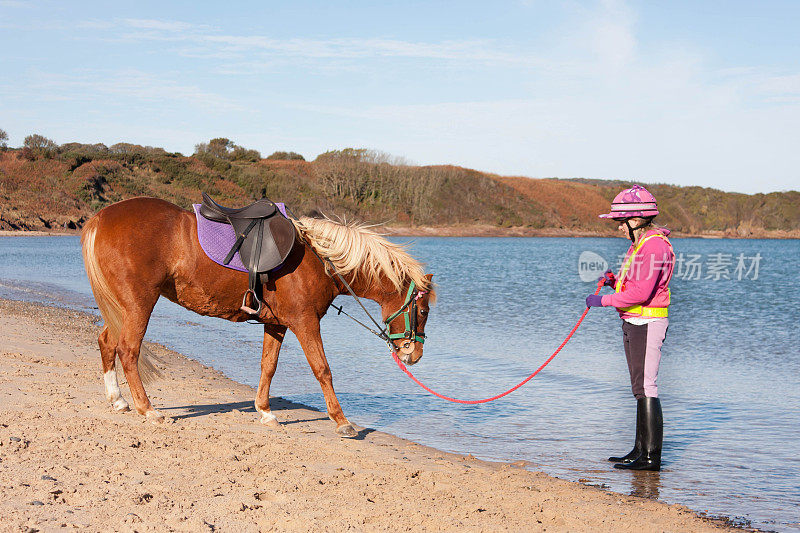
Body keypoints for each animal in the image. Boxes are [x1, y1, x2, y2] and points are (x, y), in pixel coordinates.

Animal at [79, 196, 438, 436]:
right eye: (422, 310)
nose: (415, 354)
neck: (320, 259)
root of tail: (101, 217)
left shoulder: (276, 323)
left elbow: (268, 366)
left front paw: (265, 412)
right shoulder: (305, 322)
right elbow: (322, 369)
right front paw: (342, 421)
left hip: (122, 307)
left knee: (106, 342)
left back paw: (118, 400)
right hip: (139, 303)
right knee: (128, 350)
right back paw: (148, 409)